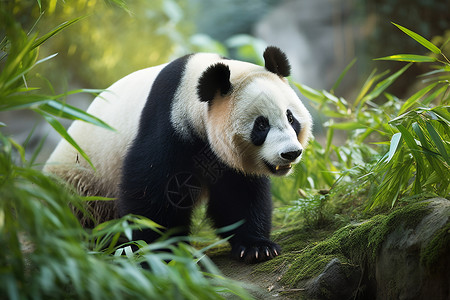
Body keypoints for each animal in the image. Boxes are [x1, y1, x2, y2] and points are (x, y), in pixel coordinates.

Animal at [45, 46, 312, 262]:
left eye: (290, 117)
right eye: (261, 125)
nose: (290, 153)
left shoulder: (222, 157)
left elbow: (240, 194)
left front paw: (257, 247)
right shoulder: (167, 123)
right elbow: (152, 193)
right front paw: (161, 252)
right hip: (81, 181)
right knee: (78, 215)